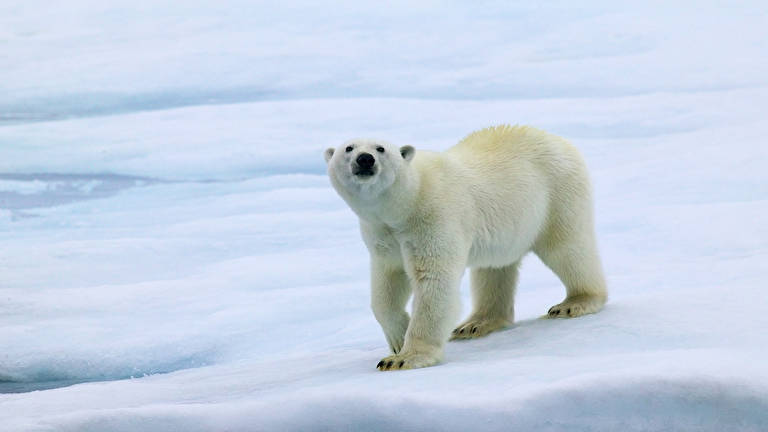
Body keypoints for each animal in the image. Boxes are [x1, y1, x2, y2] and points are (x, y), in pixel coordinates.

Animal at [322, 125, 608, 372]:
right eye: (348, 148)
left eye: (381, 148)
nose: (365, 159)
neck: (406, 203)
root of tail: (557, 139)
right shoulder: (382, 233)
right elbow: (387, 284)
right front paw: (398, 338)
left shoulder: (433, 218)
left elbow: (434, 282)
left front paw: (404, 358)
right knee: (493, 269)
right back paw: (475, 324)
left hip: (557, 194)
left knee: (567, 248)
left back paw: (574, 303)